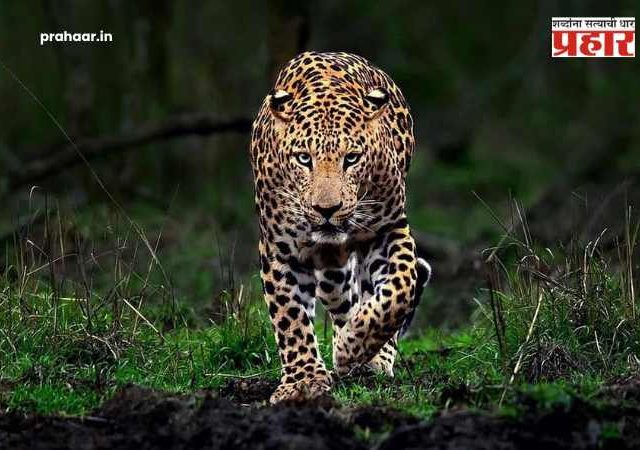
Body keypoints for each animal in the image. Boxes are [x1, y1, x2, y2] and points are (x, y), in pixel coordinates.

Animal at [250, 51, 431, 404]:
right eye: (303, 158)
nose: (326, 209)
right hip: (331, 270)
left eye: (352, 158)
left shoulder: (388, 228)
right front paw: (303, 382)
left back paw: (370, 356)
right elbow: (290, 317)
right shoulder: (280, 248)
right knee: (343, 299)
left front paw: (352, 347)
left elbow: (400, 288)